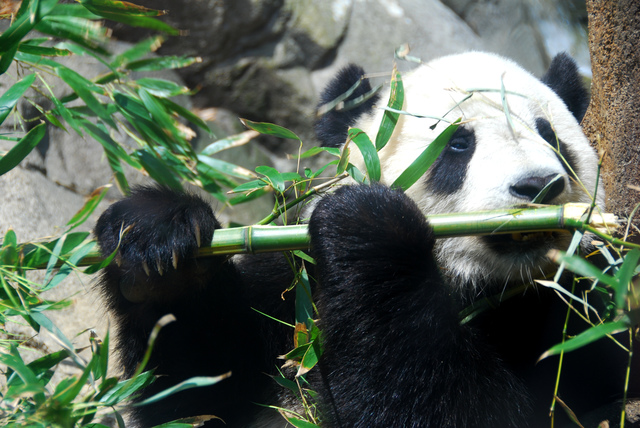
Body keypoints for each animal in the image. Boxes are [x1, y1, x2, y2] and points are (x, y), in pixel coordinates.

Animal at [95, 52, 630, 428]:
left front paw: (370, 229)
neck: (479, 288)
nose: (539, 186)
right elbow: (201, 394)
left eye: (552, 138)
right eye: (458, 144)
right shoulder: (292, 296)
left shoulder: (585, 315)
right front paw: (157, 247)